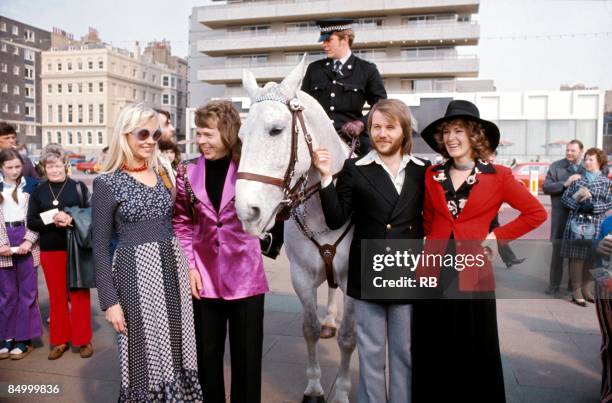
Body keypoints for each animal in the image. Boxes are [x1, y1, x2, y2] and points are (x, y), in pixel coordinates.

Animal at [235, 57, 358, 403]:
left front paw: (342, 392)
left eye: (276, 130)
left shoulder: (352, 278)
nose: (246, 211)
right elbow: (310, 329)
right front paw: (315, 387)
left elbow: (348, 338)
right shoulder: (301, 276)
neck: (326, 207)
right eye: (241, 136)